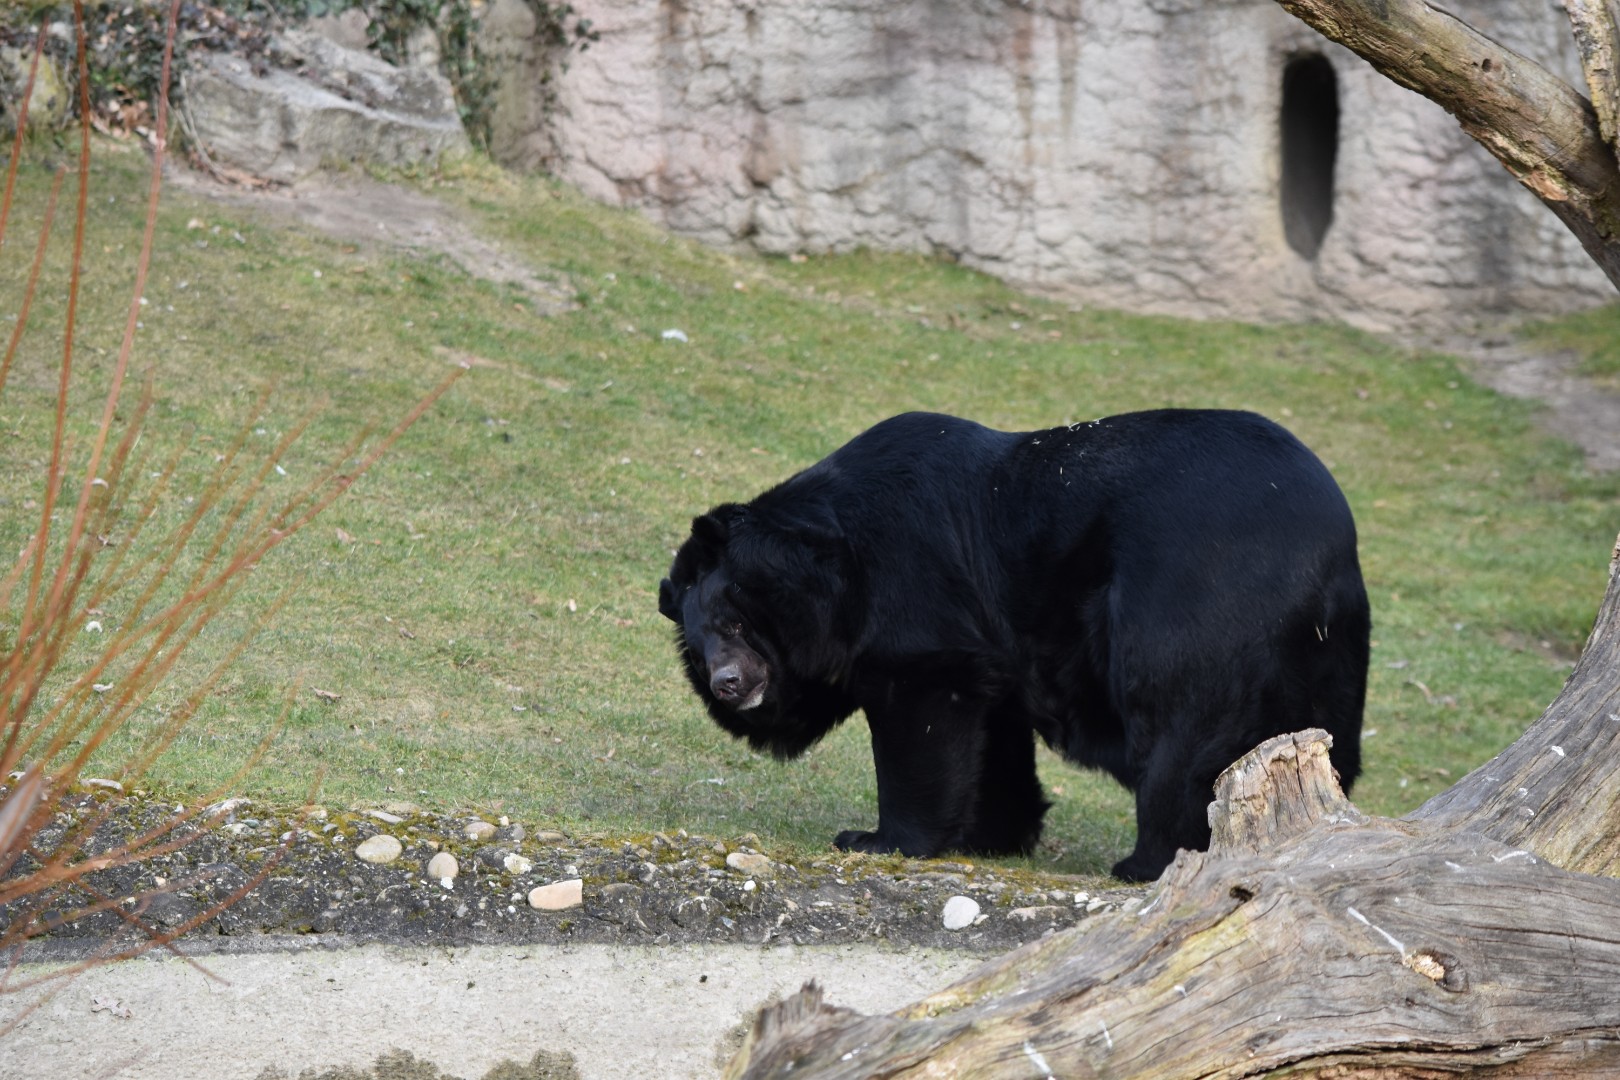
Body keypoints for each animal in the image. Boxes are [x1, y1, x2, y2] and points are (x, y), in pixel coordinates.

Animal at [658, 410, 1369, 882]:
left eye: (734, 623)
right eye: (698, 645)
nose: (729, 684)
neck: (830, 567)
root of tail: (1325, 553)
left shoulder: (913, 594)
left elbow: (922, 713)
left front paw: (873, 839)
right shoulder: (993, 648)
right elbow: (991, 734)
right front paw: (993, 836)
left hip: (1191, 608)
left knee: (1181, 733)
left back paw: (1146, 863)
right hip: (1329, 661)